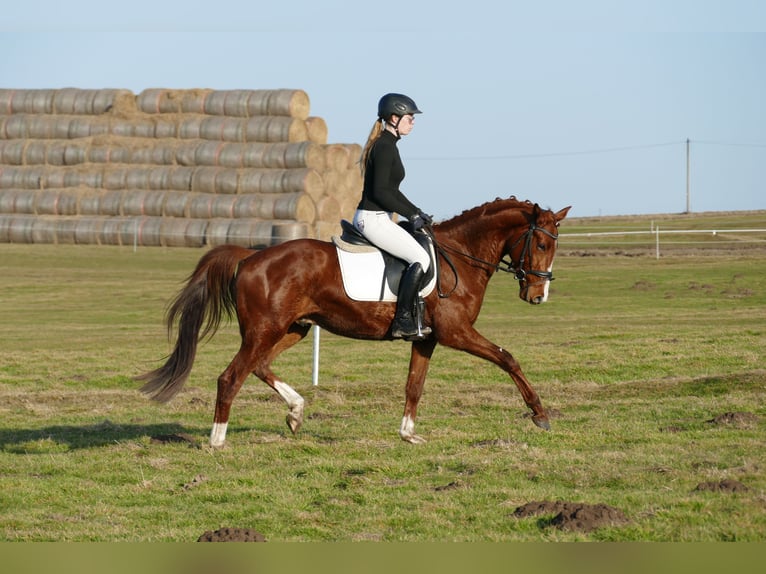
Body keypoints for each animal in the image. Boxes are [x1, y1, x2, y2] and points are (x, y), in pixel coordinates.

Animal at [136, 197, 571, 447]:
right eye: (541, 243)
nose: (538, 296)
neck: (460, 257)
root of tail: (250, 257)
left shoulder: (426, 339)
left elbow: (414, 386)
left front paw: (408, 434)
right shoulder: (457, 333)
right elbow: (508, 358)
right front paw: (540, 415)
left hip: (293, 328)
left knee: (258, 367)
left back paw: (296, 412)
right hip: (265, 330)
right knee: (231, 377)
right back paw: (217, 440)